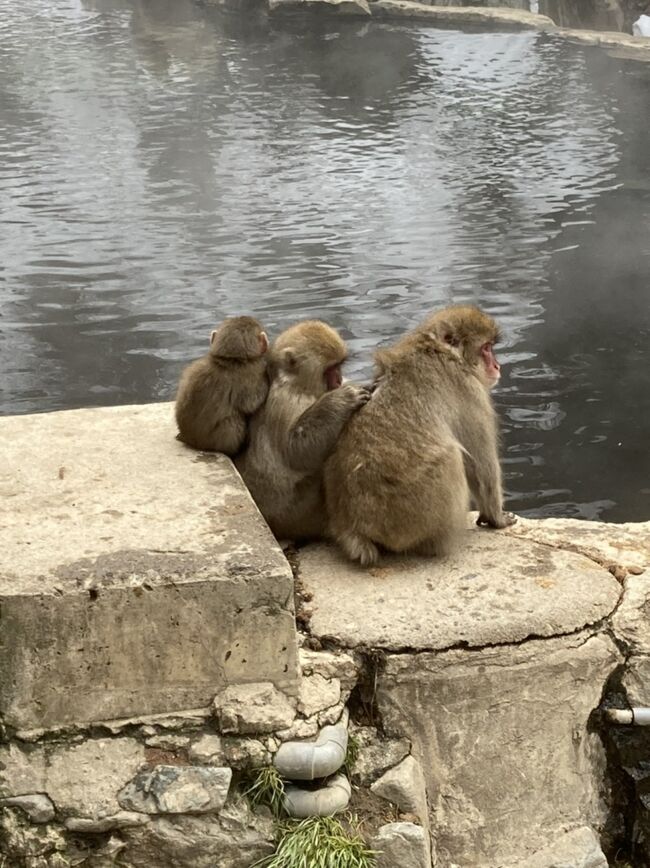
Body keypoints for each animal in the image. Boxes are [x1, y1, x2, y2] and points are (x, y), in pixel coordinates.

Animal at [173, 316, 268, 458]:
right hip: (217, 440)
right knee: (234, 421)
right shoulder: (252, 373)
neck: (230, 359)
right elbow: (250, 403)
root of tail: (189, 440)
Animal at [237, 318, 370, 544]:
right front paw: (341, 400)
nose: (338, 380)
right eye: (330, 369)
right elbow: (297, 451)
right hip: (298, 514)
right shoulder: (287, 400)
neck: (300, 385)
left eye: (339, 366)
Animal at [322, 306, 512, 568]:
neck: (439, 350)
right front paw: (497, 518)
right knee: (452, 457)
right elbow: (481, 466)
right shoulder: (470, 391)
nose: (497, 366)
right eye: (486, 348)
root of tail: (352, 526)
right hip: (411, 516)